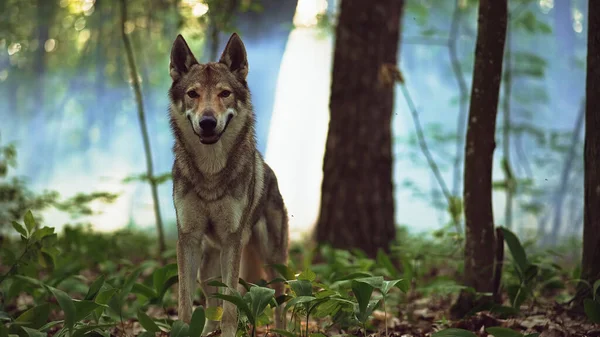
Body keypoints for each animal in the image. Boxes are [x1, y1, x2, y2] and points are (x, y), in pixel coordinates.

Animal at [169, 32, 290, 336]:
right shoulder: (188, 239)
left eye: (225, 94)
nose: (208, 122)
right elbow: (186, 304)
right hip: (208, 267)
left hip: (272, 261)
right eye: (193, 94)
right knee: (212, 304)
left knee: (281, 301)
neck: (210, 173)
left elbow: (232, 307)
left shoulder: (232, 241)